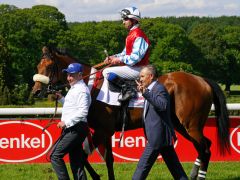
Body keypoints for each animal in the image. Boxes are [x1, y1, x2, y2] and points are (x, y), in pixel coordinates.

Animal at [31, 46, 230, 180]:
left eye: (49, 66)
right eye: (38, 65)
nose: (35, 91)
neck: (92, 86)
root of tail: (201, 80)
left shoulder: (103, 131)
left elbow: (85, 155)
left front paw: (96, 176)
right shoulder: (105, 131)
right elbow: (107, 159)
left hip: (191, 125)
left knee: (205, 149)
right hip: (180, 125)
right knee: (205, 146)